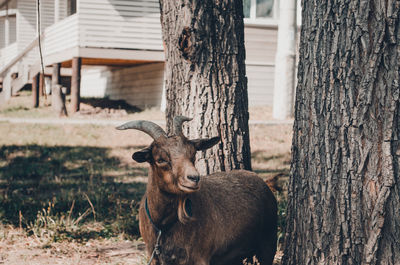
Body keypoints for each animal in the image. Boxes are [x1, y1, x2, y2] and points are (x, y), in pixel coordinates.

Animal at [117, 117, 276, 264]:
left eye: (193, 154)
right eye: (160, 159)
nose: (193, 178)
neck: (163, 225)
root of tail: (261, 180)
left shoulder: (199, 257)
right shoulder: (154, 256)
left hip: (268, 242)